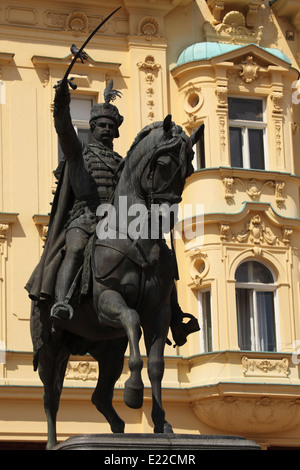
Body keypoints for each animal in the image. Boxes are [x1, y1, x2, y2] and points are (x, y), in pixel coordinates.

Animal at [32, 114, 202, 448]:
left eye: (189, 167)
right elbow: (132, 317)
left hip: (108, 348)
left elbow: (156, 365)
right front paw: (134, 392)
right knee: (50, 398)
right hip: (50, 349)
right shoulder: (106, 301)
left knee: (98, 397)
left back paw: (118, 427)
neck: (136, 236)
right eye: (163, 163)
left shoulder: (159, 312)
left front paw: (162, 422)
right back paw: (53, 442)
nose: (167, 216)